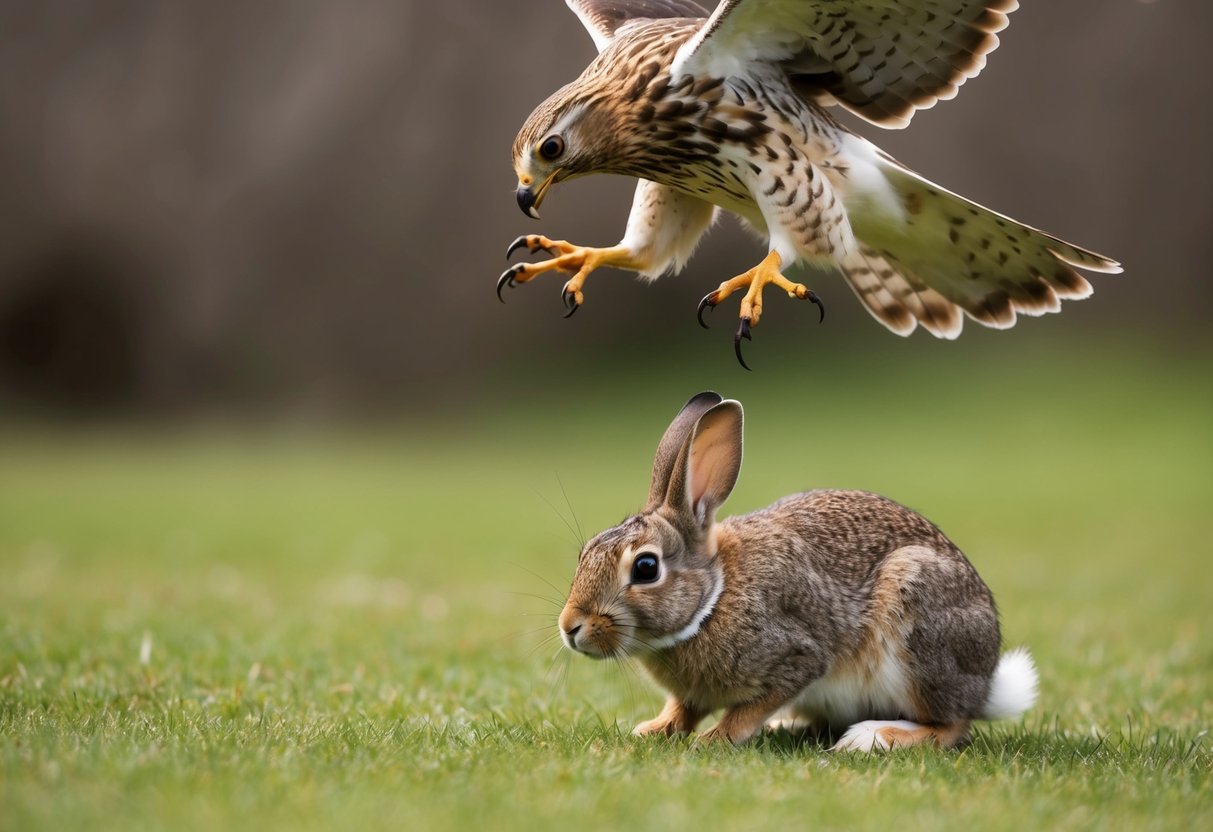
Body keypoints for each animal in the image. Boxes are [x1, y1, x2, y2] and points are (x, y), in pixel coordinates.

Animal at [557, 391, 1038, 751]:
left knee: (953, 724)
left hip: (919, 624)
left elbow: (750, 707)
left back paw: (872, 738)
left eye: (645, 567)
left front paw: (716, 738)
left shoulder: (797, 656)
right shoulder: (695, 692)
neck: (713, 599)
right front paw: (654, 730)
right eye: (585, 552)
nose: (570, 627)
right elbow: (685, 708)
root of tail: (986, 686)